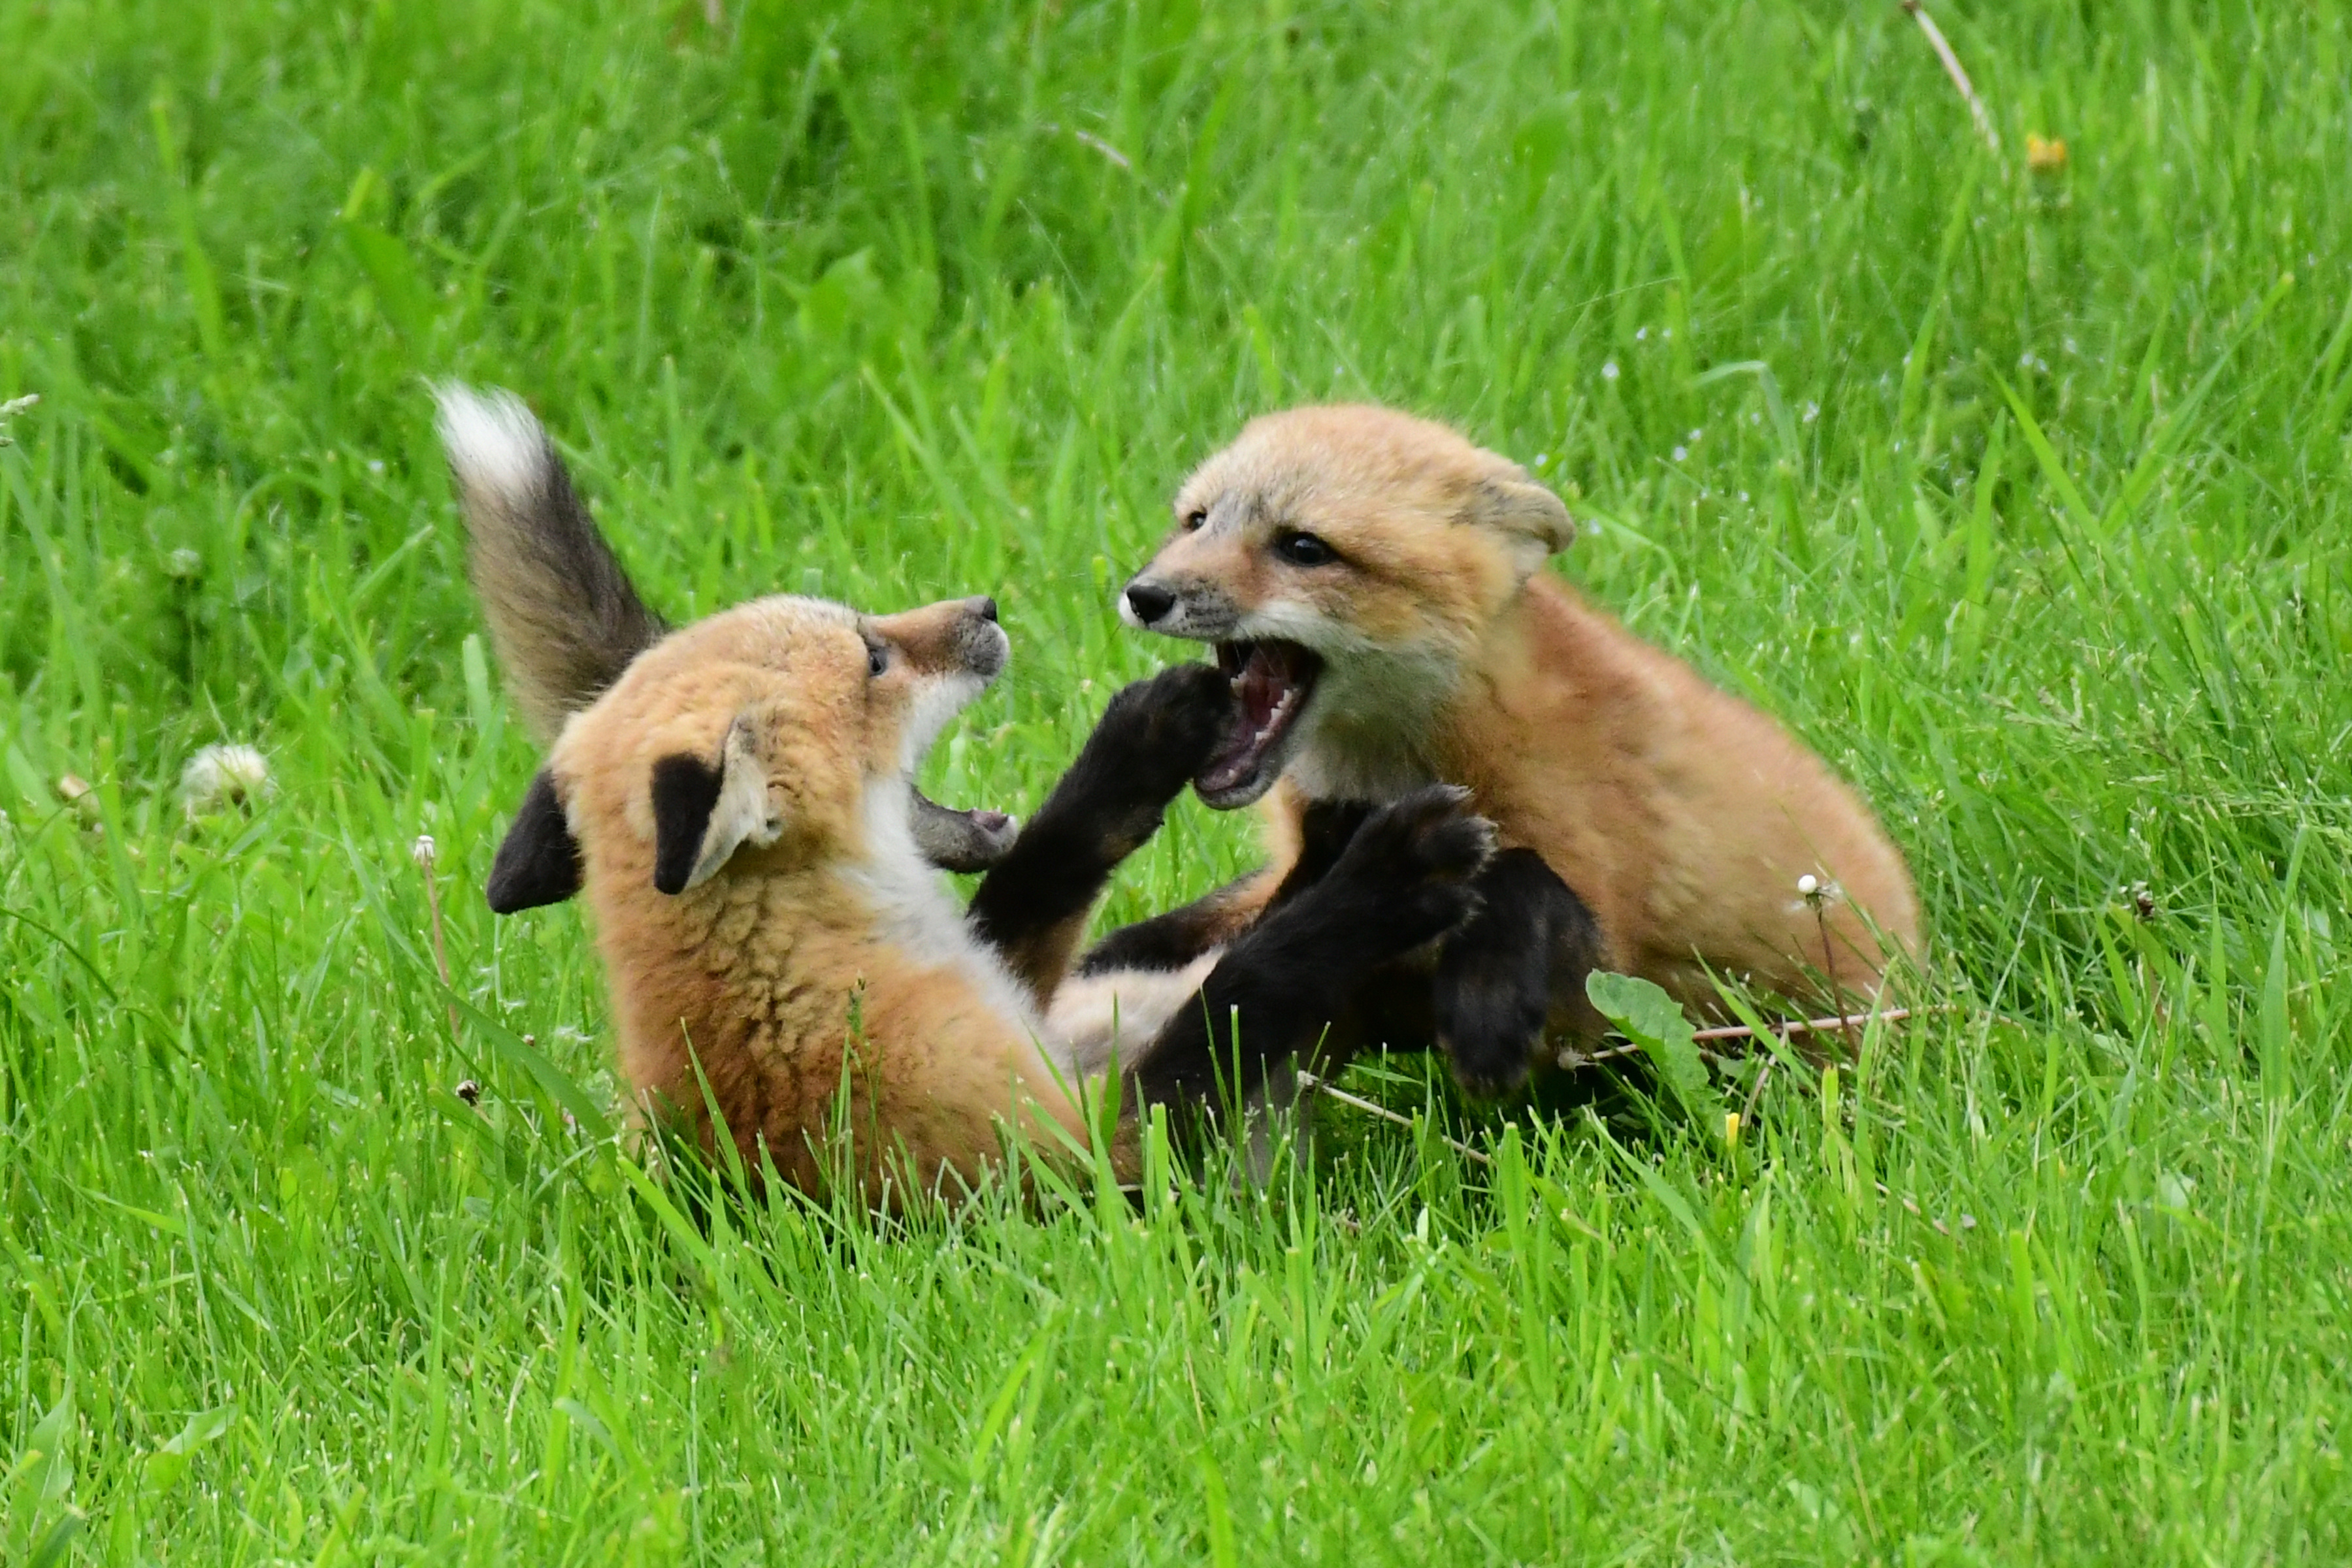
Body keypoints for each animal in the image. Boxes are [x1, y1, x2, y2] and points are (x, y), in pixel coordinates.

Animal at [434, 385, 1495, 1204]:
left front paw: (1142, 739)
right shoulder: (1085, 1158)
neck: (809, 977)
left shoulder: (1027, 1013)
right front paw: (1391, 877)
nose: (985, 607)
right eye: (873, 655)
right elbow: (1250, 985)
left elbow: (1040, 871)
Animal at [1102, 403, 1922, 1096]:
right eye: (1196, 521)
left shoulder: (1610, 963)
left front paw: (1488, 1003)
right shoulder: (1290, 877)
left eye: (1304, 547)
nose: (1145, 594)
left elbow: (1524, 876)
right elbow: (1171, 936)